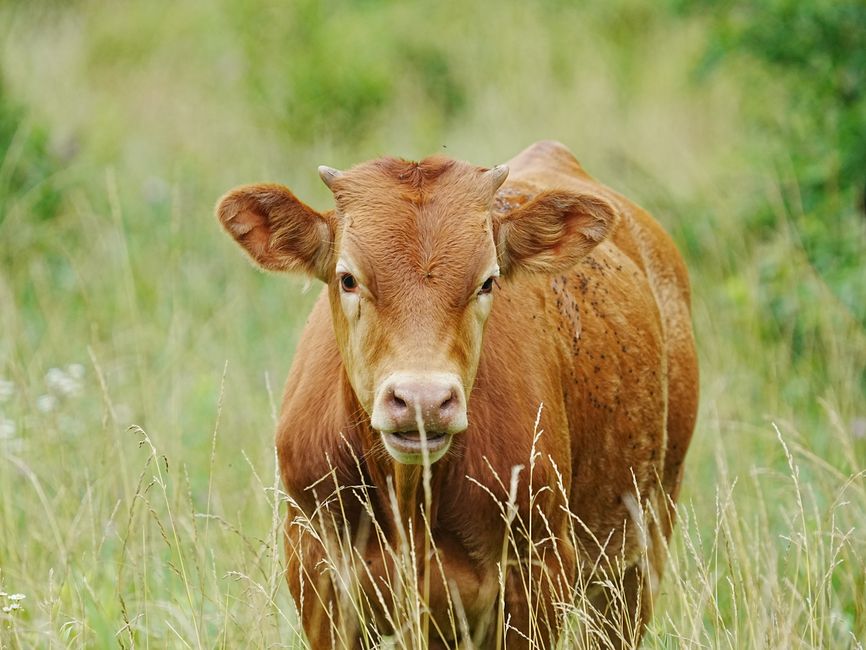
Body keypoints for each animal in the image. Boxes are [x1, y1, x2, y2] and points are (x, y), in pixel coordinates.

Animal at [216, 140, 698, 649]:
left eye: (488, 281)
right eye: (348, 278)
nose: (422, 400)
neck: (411, 502)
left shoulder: (538, 573)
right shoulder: (317, 572)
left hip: (639, 550)